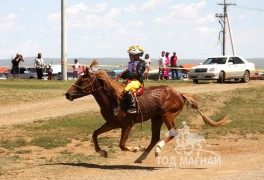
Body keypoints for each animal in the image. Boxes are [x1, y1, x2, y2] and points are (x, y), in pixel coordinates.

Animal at [65, 60, 228, 163]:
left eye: (82, 81)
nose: (67, 94)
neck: (115, 99)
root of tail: (179, 94)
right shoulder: (111, 124)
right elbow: (95, 134)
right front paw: (102, 152)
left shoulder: (127, 125)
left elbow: (122, 145)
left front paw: (136, 148)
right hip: (157, 118)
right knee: (155, 138)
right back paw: (142, 157)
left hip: (167, 115)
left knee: (173, 132)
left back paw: (157, 150)